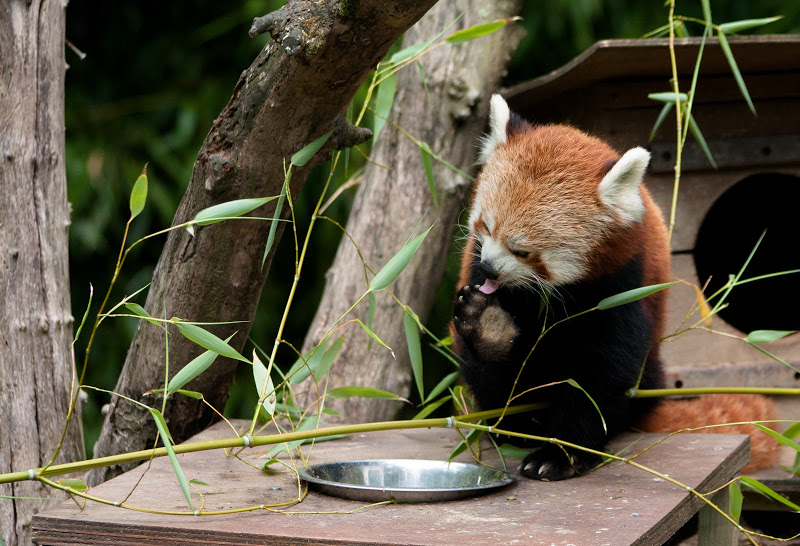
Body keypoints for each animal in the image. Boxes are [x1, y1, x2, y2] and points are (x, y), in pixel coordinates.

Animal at [454, 95, 780, 478]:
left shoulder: (620, 285)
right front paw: (489, 326)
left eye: (523, 251)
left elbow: (603, 373)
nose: (490, 268)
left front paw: (563, 452)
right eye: (486, 227)